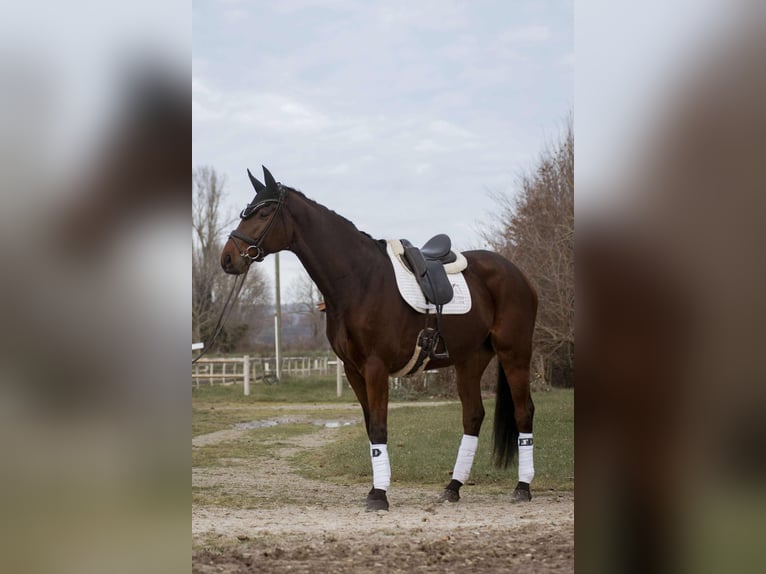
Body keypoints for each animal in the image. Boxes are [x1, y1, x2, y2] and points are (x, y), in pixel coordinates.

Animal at [219, 166, 536, 512]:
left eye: (263, 213)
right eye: (245, 212)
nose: (228, 258)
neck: (359, 280)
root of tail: (517, 273)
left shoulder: (375, 367)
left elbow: (380, 426)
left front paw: (379, 495)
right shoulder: (353, 370)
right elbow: (371, 427)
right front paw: (376, 489)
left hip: (515, 354)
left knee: (524, 411)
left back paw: (523, 487)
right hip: (470, 360)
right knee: (473, 415)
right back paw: (453, 488)